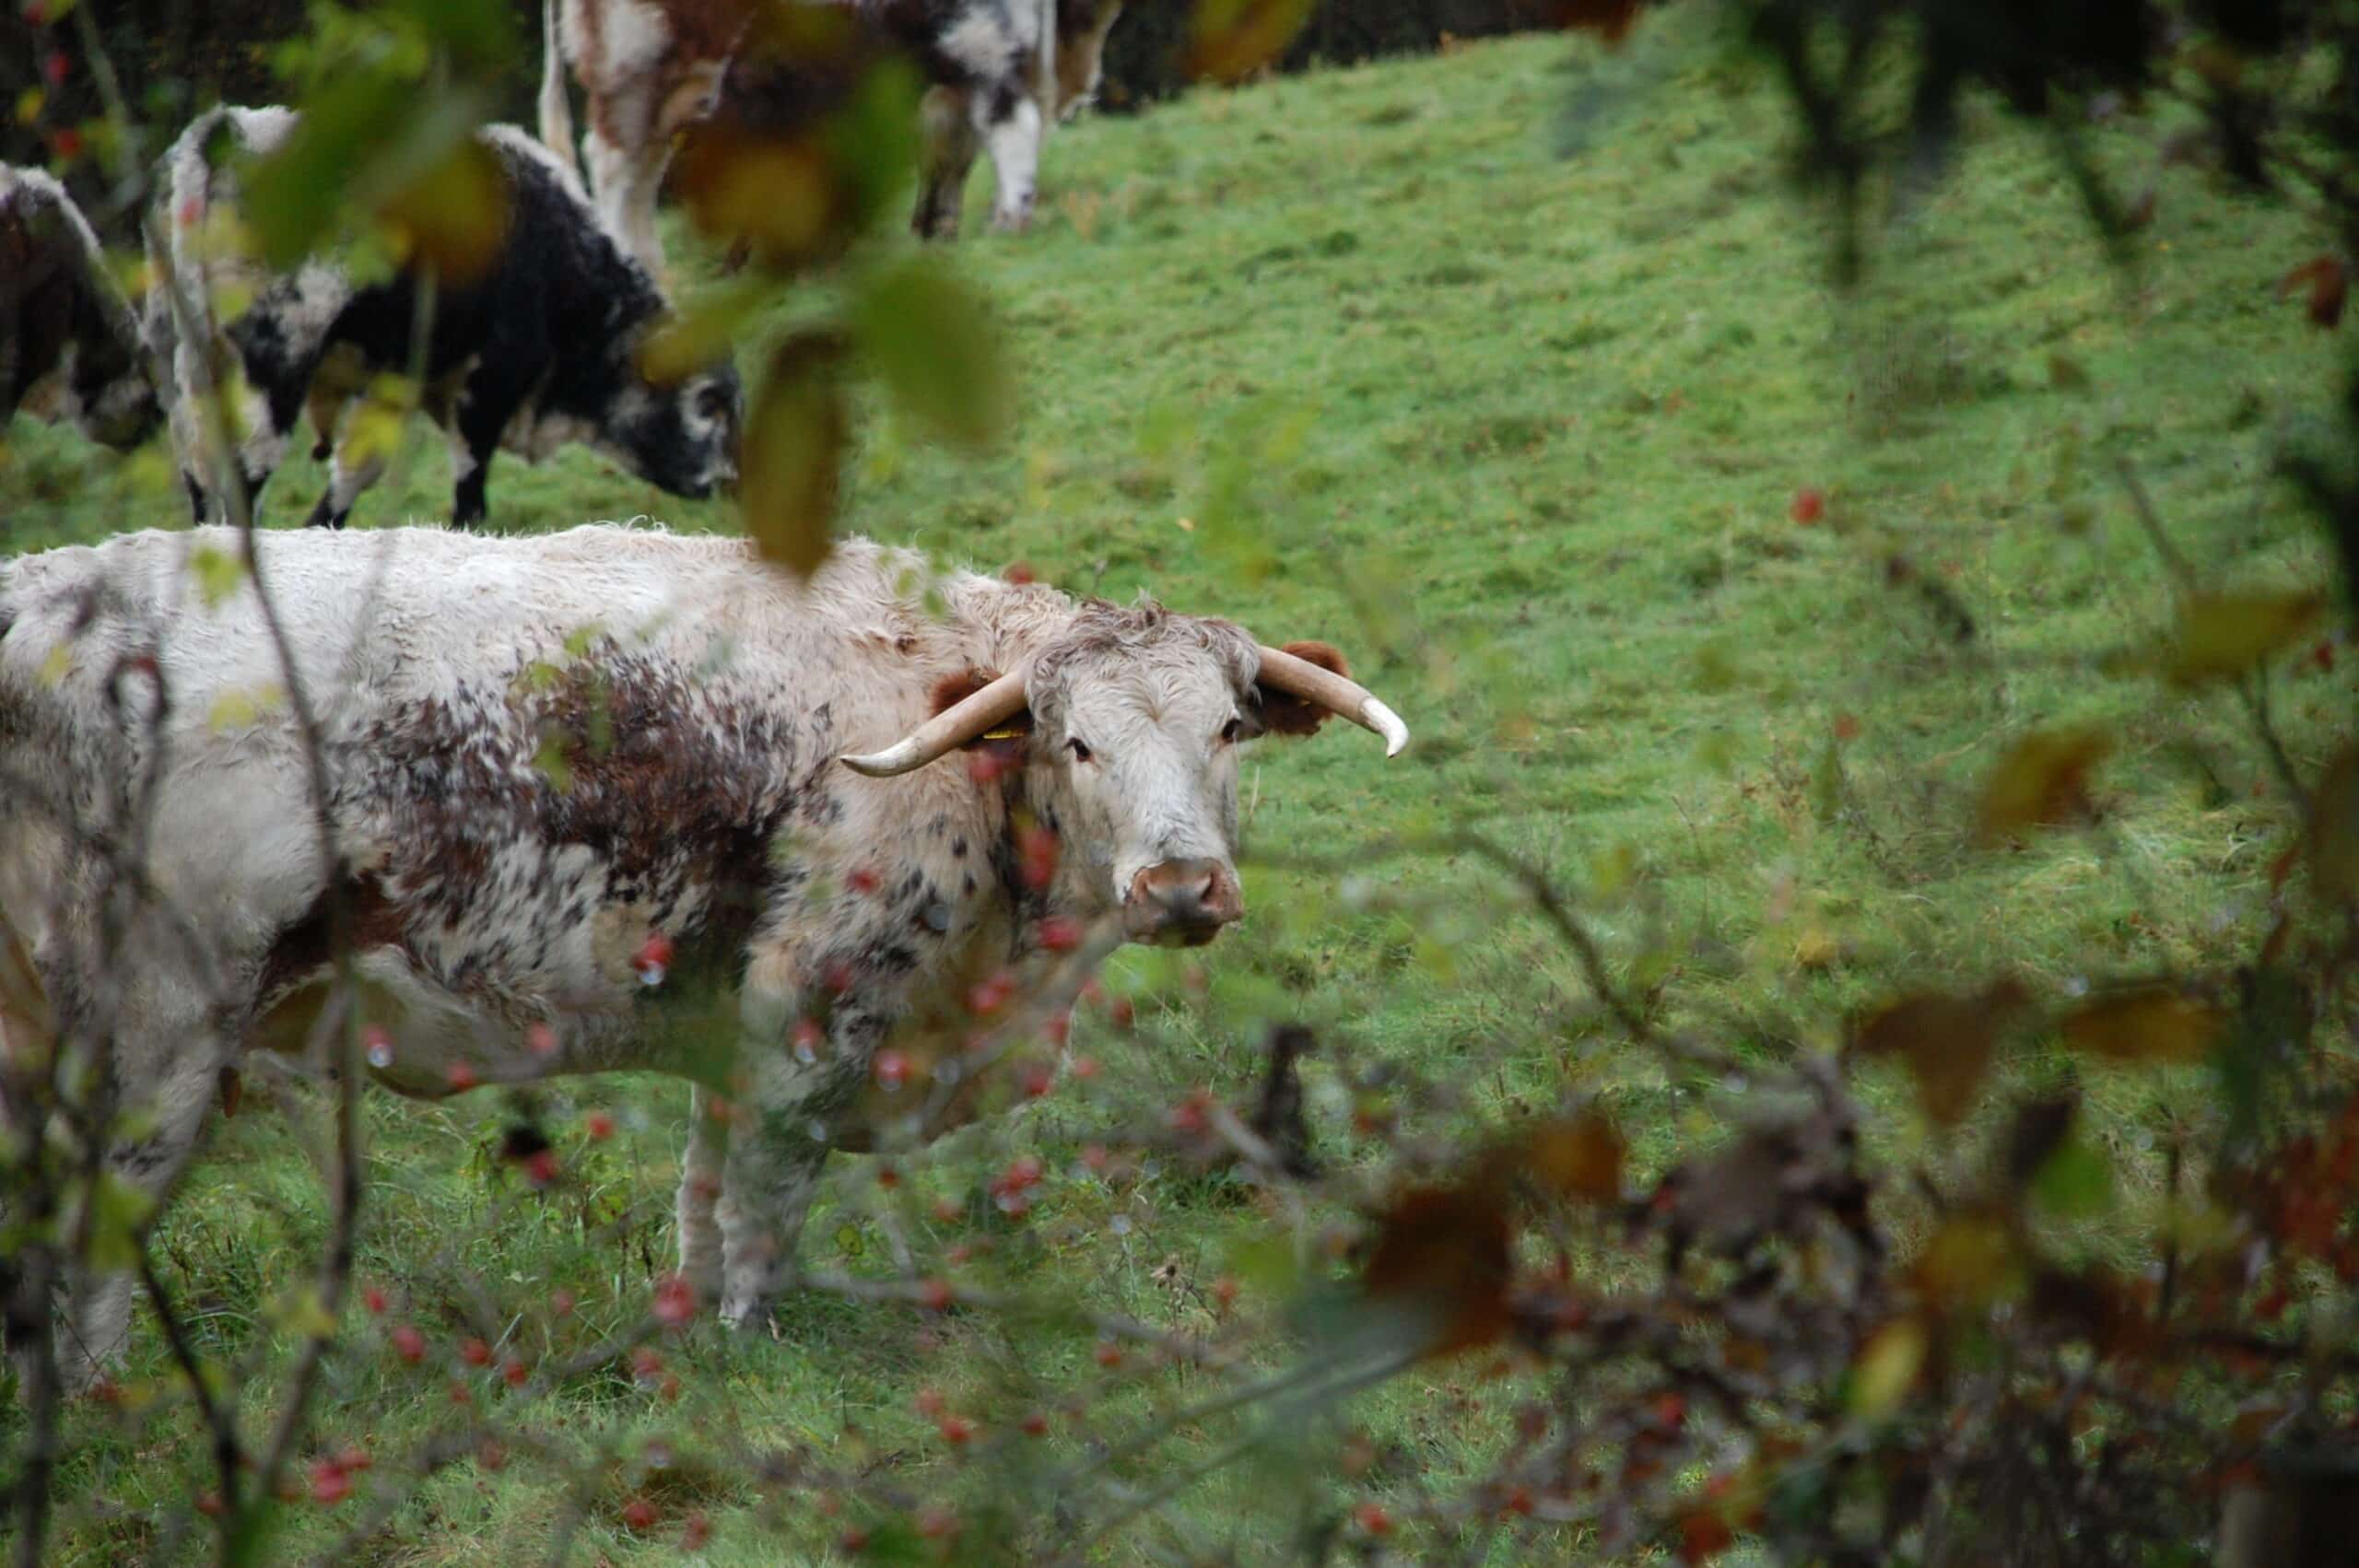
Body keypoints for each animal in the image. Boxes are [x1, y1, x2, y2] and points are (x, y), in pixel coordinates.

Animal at [0, 521, 1406, 1384]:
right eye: (1079, 742)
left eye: (1230, 728)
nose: (1180, 882)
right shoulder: (816, 1009)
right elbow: (764, 1201)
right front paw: (753, 1336)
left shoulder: (735, 1028)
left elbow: (701, 1197)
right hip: (161, 1037)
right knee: (96, 1239)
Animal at [148, 106, 741, 531]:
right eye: (709, 404)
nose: (731, 482)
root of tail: (226, 128)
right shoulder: (491, 382)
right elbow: (470, 489)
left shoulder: (396, 380)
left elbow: (356, 468)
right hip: (275, 366)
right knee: (245, 471)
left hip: (181, 365)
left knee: (195, 465)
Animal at [537, 0, 1124, 272]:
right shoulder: (978, 34)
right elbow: (1002, 127)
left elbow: (950, 151)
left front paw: (937, 232)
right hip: (637, 60)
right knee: (615, 164)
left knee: (640, 170)